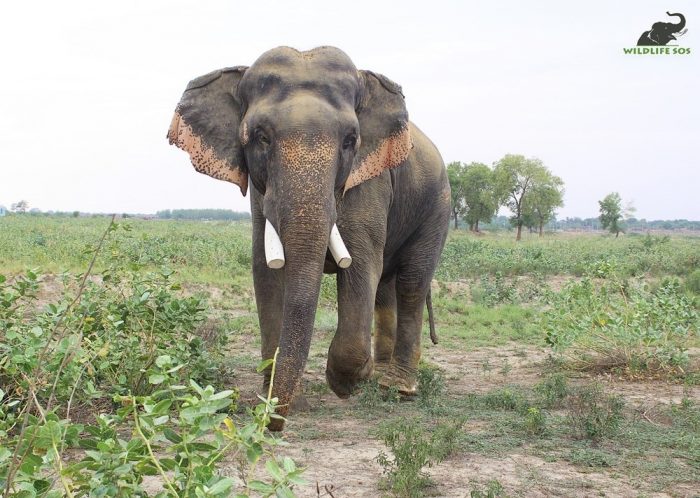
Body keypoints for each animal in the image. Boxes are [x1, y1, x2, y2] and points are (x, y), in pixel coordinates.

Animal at [171, 45, 454, 432]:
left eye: (350, 141)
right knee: (385, 288)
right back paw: (380, 378)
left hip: (437, 206)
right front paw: (282, 401)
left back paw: (397, 388)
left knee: (411, 282)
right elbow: (266, 272)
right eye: (261, 137)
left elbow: (361, 262)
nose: (270, 423)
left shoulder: (369, 180)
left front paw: (347, 382)